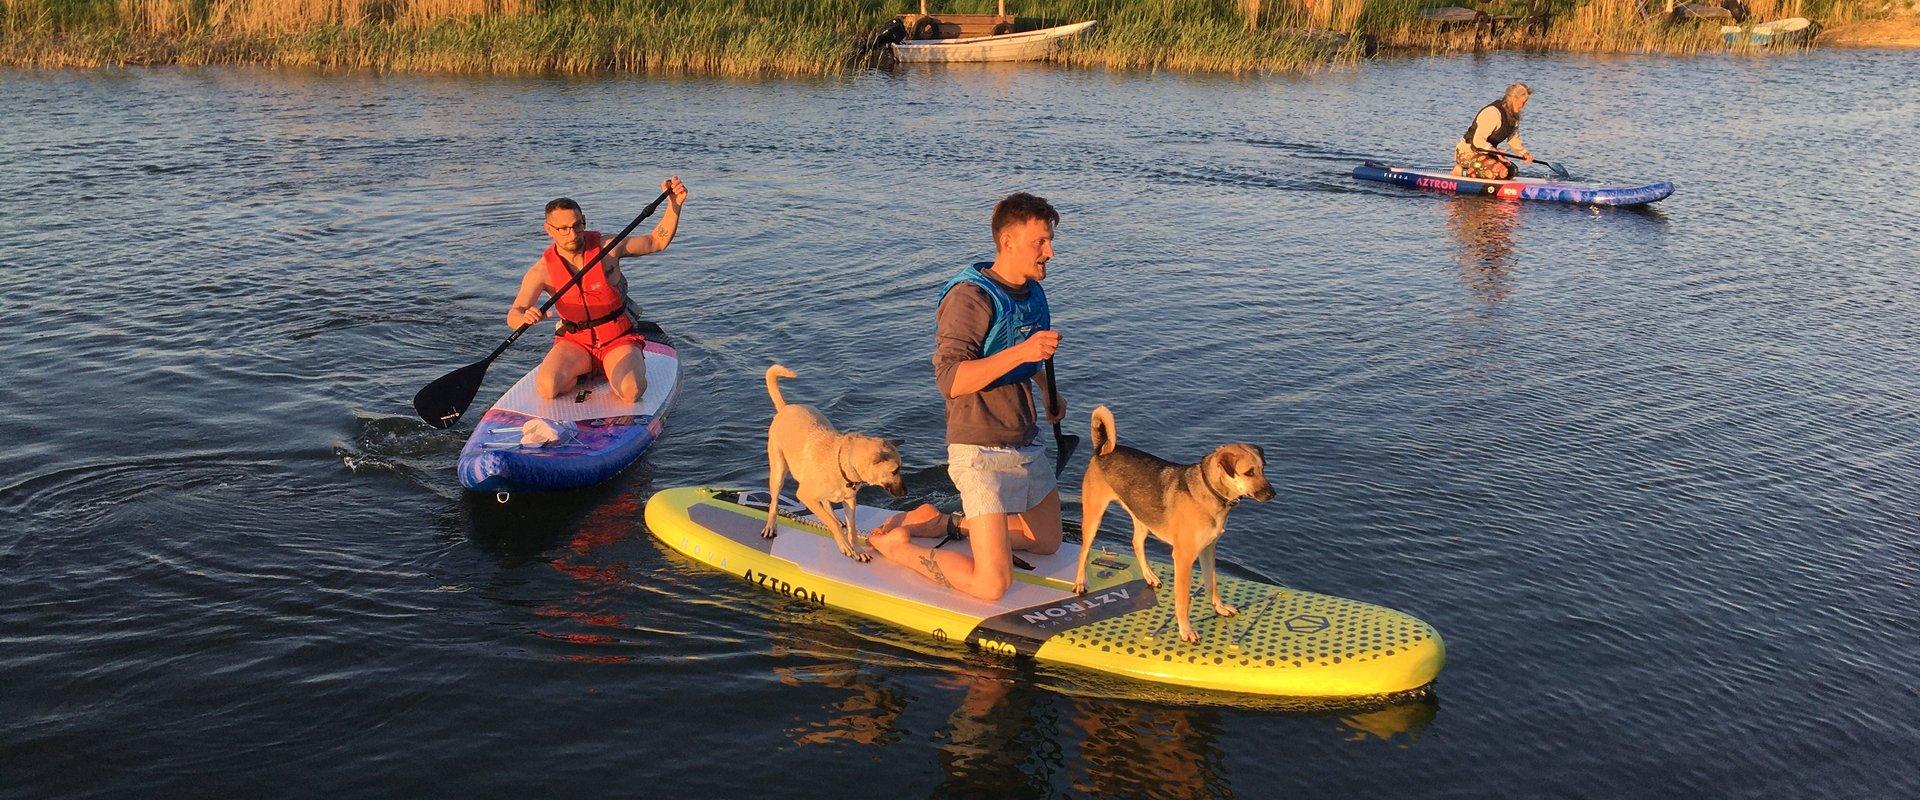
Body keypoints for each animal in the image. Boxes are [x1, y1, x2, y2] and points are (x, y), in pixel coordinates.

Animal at [764, 362, 906, 560]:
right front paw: (845, 546)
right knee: (775, 501)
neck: (842, 464)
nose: (906, 492)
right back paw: (770, 526)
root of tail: (785, 408)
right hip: (778, 472)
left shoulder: (850, 501)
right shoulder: (804, 496)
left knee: (827, 505)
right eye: (894, 471)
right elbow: (831, 523)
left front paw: (858, 550)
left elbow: (852, 529)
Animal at [1075, 404, 1267, 640]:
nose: (1272, 493)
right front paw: (1186, 630)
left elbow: (1212, 583)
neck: (1208, 490)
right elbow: (1183, 599)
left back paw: (1149, 576)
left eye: (1263, 469)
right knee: (1084, 551)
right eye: (1248, 472)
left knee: (1136, 543)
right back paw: (1080, 583)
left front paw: (1219, 607)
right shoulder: (1183, 558)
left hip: (1142, 517)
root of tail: (1103, 449)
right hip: (1094, 517)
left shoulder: (1208, 550)